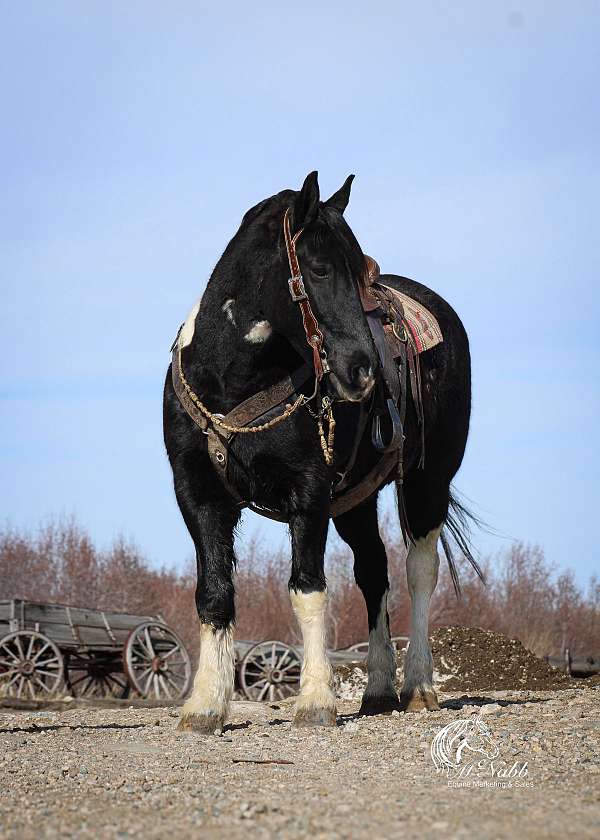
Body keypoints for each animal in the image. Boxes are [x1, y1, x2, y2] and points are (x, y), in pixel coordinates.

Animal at [162, 174, 476, 732]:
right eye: (320, 267)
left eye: (359, 271)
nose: (362, 370)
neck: (232, 384)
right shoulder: (197, 495)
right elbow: (214, 593)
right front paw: (205, 706)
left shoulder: (308, 491)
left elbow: (307, 588)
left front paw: (314, 701)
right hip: (355, 501)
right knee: (374, 572)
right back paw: (378, 691)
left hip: (427, 481)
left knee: (419, 571)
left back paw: (418, 685)